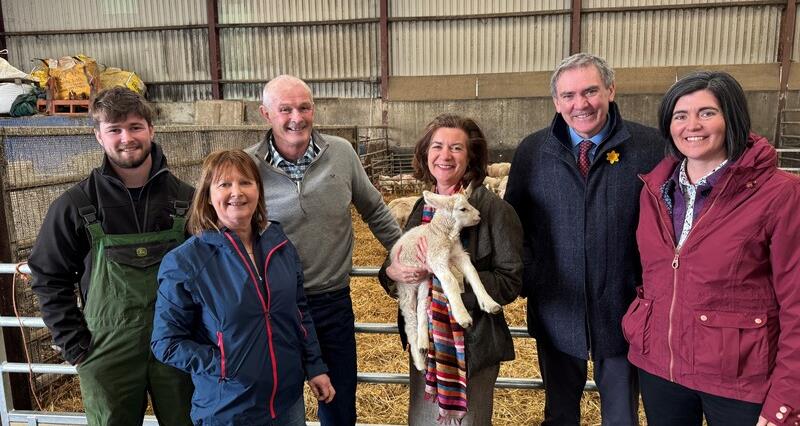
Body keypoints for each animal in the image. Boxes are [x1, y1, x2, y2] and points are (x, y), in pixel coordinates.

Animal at [390, 190, 500, 370]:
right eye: (463, 209)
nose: (479, 215)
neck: (443, 234)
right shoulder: (436, 259)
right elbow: (450, 281)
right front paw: (462, 316)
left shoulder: (459, 255)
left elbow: (474, 274)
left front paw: (489, 303)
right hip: (406, 285)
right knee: (410, 319)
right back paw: (419, 360)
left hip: (423, 279)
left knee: (422, 306)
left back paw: (423, 344)